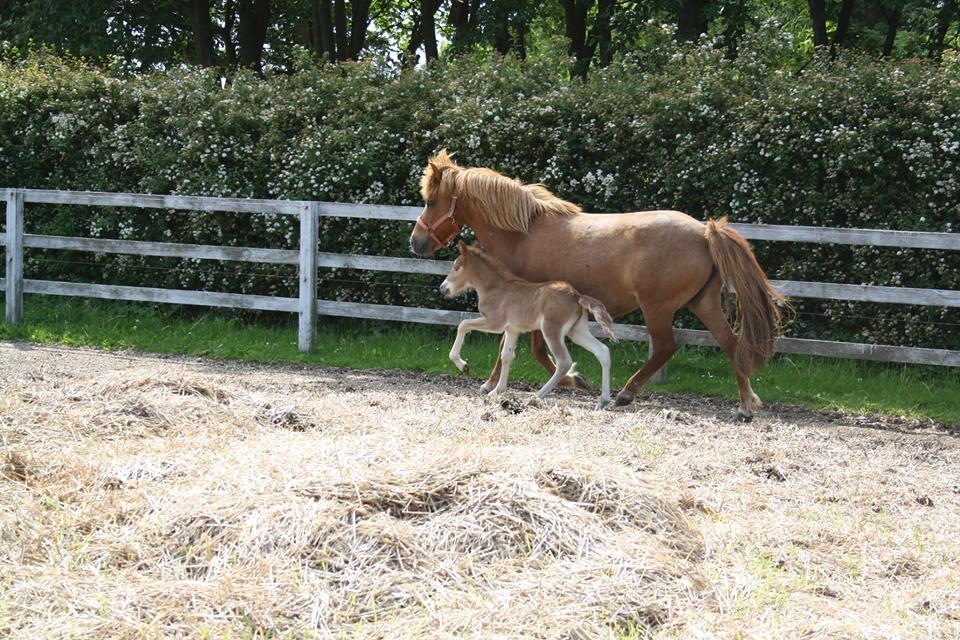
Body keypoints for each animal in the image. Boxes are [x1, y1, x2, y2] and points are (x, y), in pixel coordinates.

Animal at [406, 151, 788, 420]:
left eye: (430, 201)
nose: (415, 242)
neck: (523, 232)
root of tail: (705, 231)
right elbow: (522, 349)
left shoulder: (527, 306)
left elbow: (534, 351)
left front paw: (567, 380)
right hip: (703, 303)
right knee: (731, 345)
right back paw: (745, 405)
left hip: (658, 308)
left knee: (666, 347)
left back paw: (625, 394)